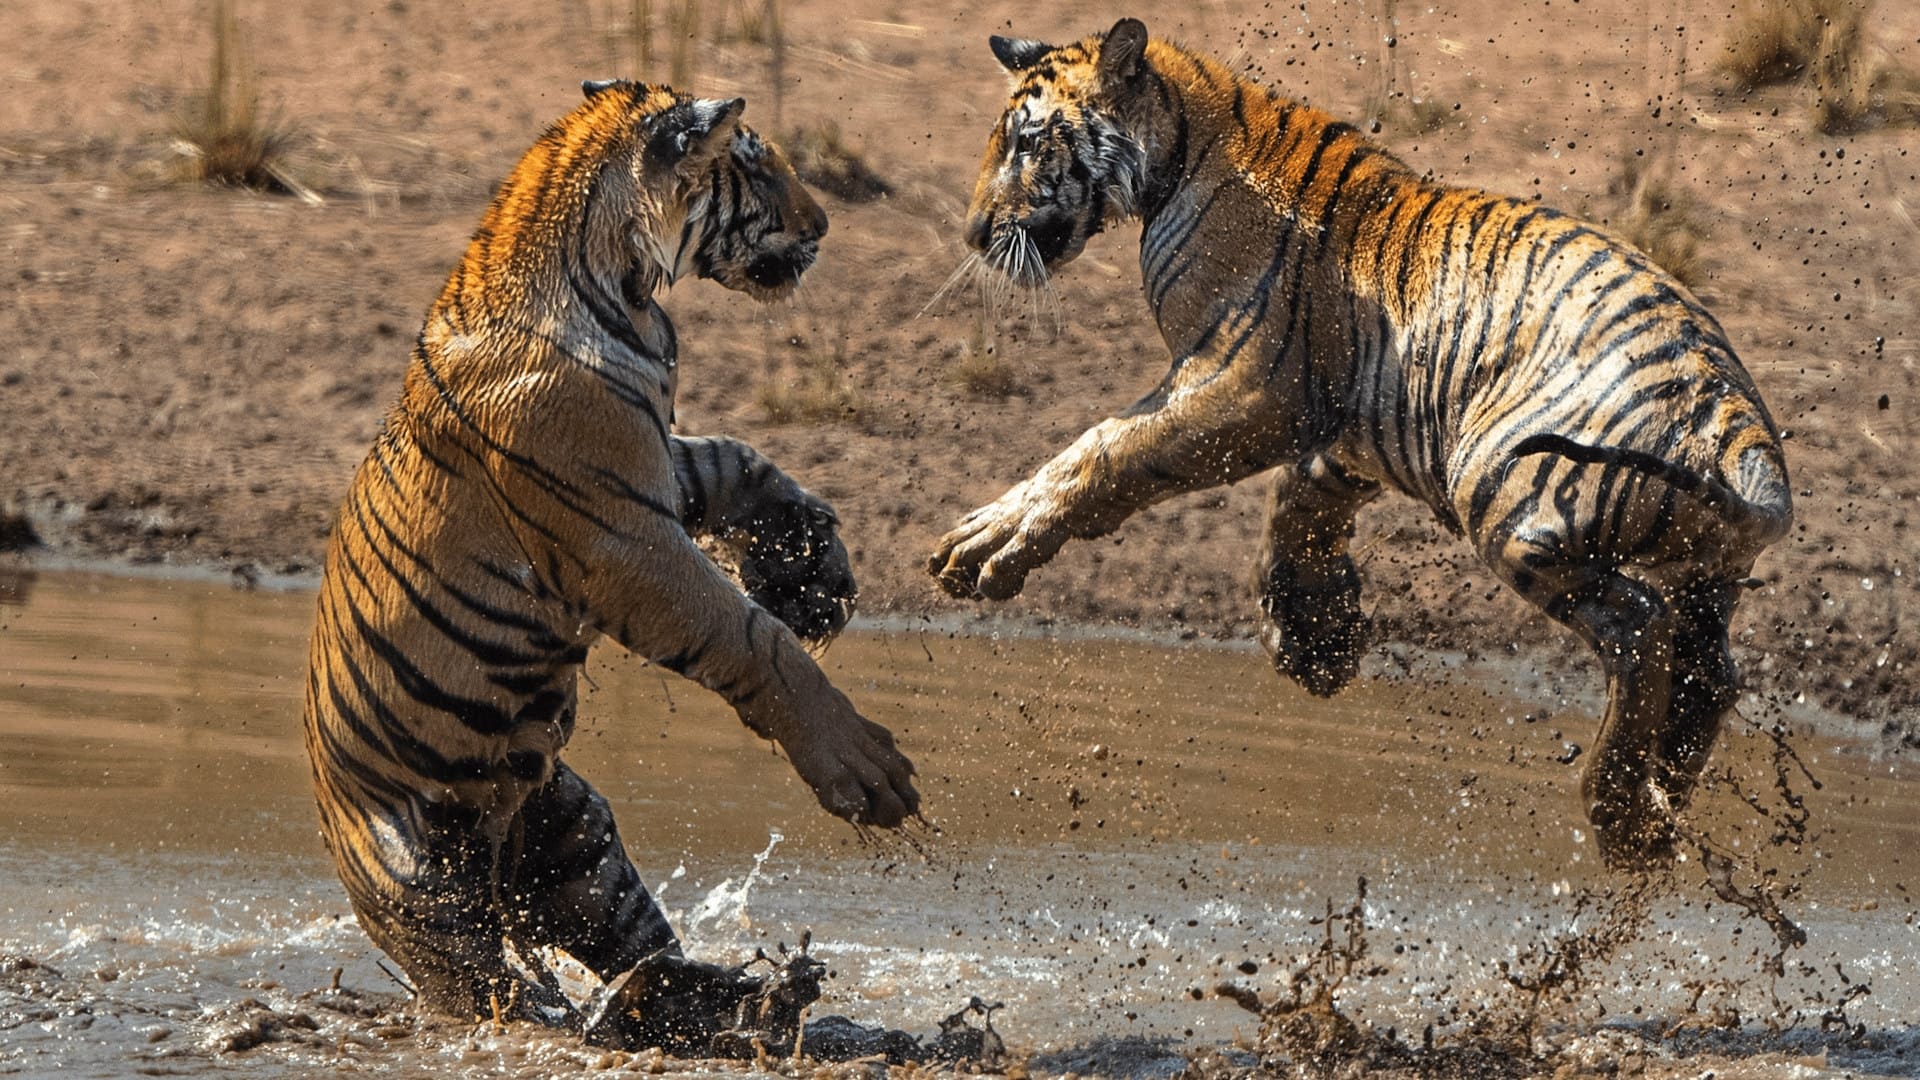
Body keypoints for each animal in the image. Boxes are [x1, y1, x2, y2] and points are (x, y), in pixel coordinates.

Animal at [303, 79, 917, 1037]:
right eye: (755, 167)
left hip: (572, 838)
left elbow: (740, 459)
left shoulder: (648, 472)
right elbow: (755, 642)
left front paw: (814, 573)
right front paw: (863, 769)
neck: (628, 293)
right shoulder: (620, 541)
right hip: (426, 893)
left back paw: (741, 998)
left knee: (636, 952)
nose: (823, 225)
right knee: (494, 990)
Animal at [929, 18, 1797, 864]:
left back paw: (1616, 812)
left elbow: (1105, 451)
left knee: (1640, 633)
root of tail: (1742, 439)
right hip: (1703, 575)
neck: (1181, 140)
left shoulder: (1246, 386)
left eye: (1027, 144)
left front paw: (985, 549)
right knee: (1712, 673)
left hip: (1508, 500)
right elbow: (1298, 501)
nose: (973, 232)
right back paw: (1656, 819)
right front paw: (1314, 638)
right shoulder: (1357, 425)